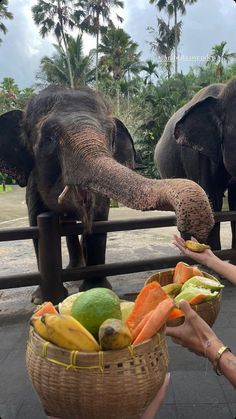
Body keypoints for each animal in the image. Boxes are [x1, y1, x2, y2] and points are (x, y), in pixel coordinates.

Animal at [0, 85, 214, 304]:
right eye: (48, 138)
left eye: (110, 135)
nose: (193, 230)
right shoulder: (32, 184)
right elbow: (35, 222)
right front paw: (40, 300)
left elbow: (99, 221)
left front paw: (95, 288)